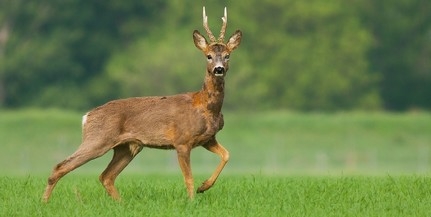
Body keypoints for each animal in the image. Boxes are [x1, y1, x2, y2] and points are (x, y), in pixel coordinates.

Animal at [42, 7, 243, 203]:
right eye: (208, 56)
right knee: (61, 166)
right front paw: (192, 201)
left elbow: (227, 155)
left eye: (227, 56)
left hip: (127, 147)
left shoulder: (208, 138)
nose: (219, 69)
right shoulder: (182, 140)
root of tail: (87, 116)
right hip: (98, 139)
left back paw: (121, 204)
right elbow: (188, 177)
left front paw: (204, 187)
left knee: (106, 176)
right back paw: (44, 203)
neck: (206, 108)